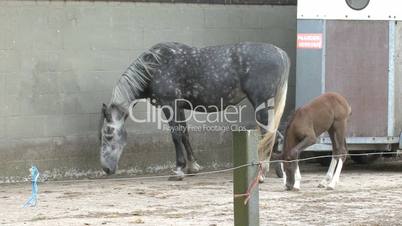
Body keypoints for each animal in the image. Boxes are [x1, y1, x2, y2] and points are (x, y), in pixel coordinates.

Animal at [99, 42, 288, 180]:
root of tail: (279, 52)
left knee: (270, 135)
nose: (106, 168)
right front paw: (192, 167)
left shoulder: (169, 105)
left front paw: (178, 170)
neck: (155, 66)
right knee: (276, 137)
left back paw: (262, 173)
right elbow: (185, 134)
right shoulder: (179, 107)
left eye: (108, 134)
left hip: (261, 104)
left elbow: (176, 135)